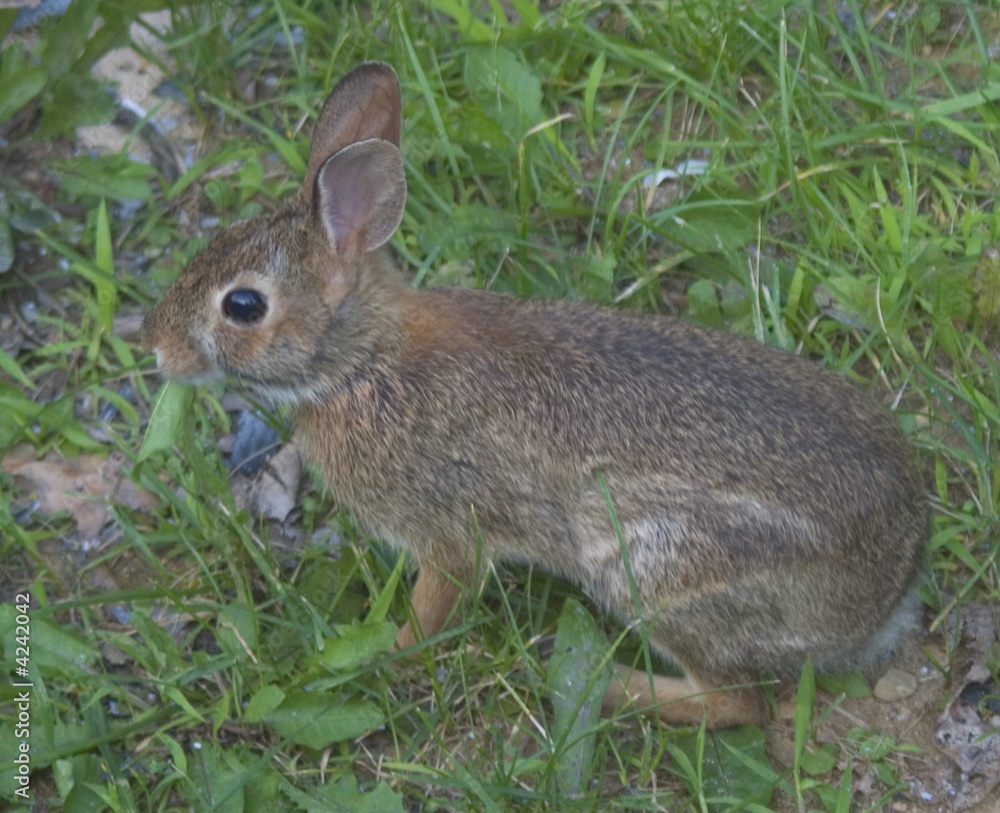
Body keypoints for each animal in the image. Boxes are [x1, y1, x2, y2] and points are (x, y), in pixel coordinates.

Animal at [142, 62, 928, 729]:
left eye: (243, 306)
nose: (157, 348)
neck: (364, 362)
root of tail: (890, 588)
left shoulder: (447, 529)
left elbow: (436, 603)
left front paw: (387, 651)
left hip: (653, 570)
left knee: (737, 703)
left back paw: (609, 685)